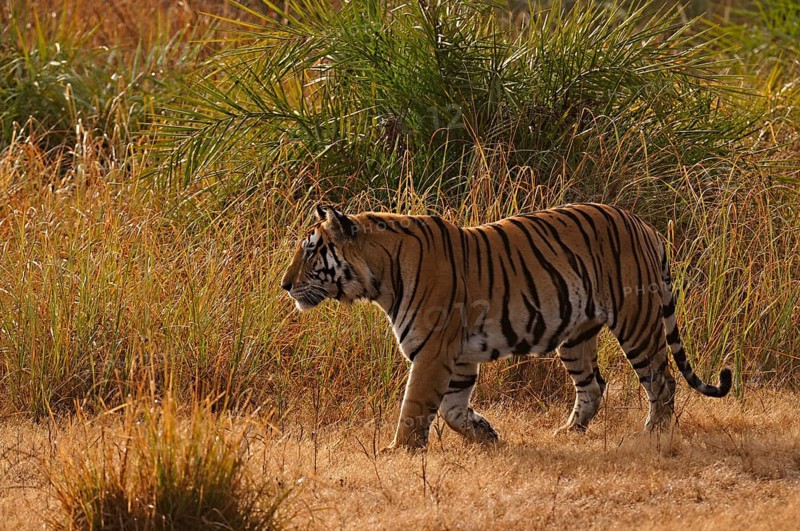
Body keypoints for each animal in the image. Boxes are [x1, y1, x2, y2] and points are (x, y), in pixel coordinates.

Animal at [281, 203, 731, 449]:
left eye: (311, 252)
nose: (285, 285)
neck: (379, 276)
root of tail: (645, 225)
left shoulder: (432, 352)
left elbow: (414, 408)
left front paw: (398, 451)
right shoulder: (457, 357)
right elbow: (451, 409)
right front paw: (486, 434)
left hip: (636, 322)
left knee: (662, 381)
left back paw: (653, 434)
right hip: (575, 336)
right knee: (593, 386)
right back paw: (568, 432)